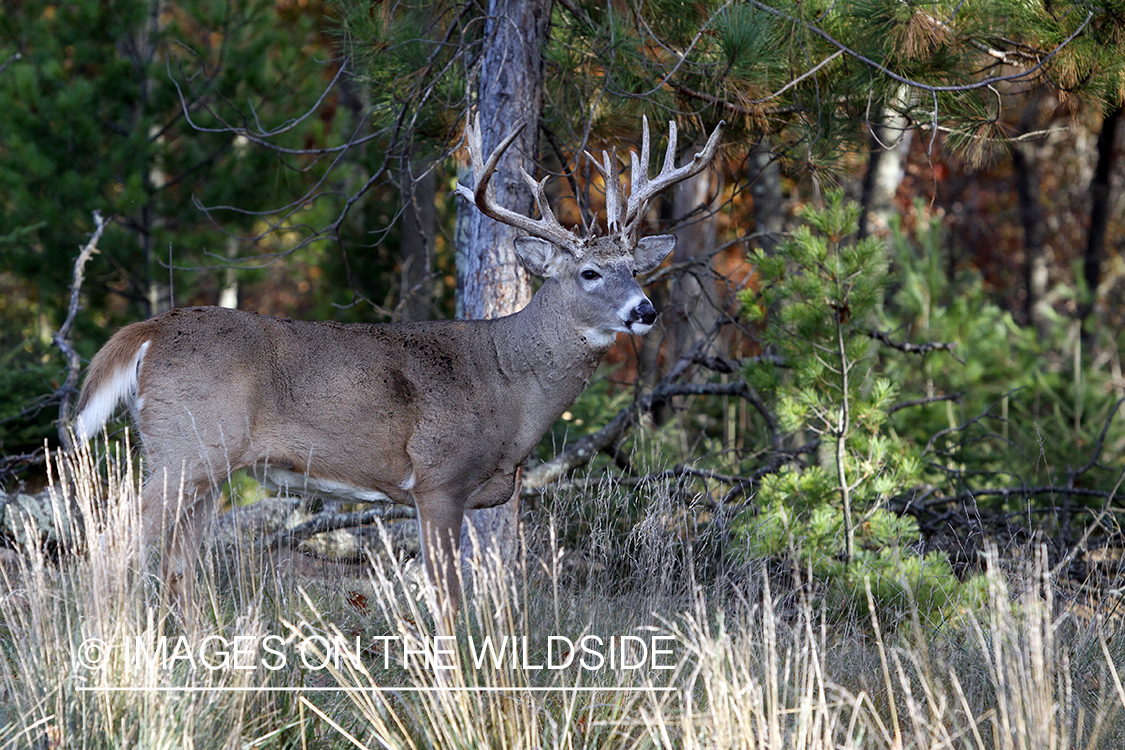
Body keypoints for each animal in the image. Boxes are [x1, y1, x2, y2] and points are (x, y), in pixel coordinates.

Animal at [72, 114, 720, 629]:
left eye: (636, 269)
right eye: (589, 272)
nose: (645, 310)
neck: (507, 383)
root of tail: (150, 331)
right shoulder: (437, 478)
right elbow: (448, 599)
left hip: (205, 466)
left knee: (179, 564)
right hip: (186, 447)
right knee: (110, 542)